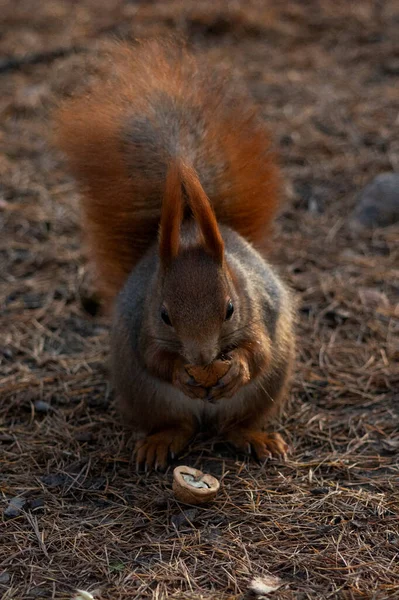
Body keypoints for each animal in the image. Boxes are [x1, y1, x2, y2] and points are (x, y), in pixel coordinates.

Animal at [55, 39, 294, 472]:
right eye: (165, 314)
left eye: (230, 309)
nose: (201, 357)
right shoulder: (143, 325)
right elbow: (154, 358)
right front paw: (182, 373)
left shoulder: (258, 311)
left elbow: (258, 351)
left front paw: (237, 367)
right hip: (147, 397)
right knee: (178, 425)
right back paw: (161, 441)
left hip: (266, 391)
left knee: (235, 423)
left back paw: (255, 437)